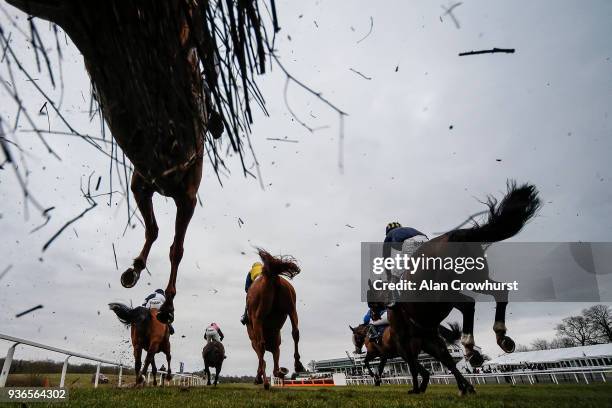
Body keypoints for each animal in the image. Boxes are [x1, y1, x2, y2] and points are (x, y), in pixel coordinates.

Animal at [5, 0, 270, 326]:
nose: (217, 124)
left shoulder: (187, 199)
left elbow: (176, 249)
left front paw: (168, 305)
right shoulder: (141, 186)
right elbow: (153, 230)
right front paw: (133, 270)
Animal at [246, 249, 306, 388]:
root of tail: (271, 276)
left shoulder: (254, 340)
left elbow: (262, 359)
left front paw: (259, 378)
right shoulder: (276, 345)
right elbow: (272, 364)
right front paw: (280, 372)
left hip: (258, 317)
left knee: (261, 345)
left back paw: (266, 383)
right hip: (291, 308)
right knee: (295, 333)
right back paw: (297, 365)